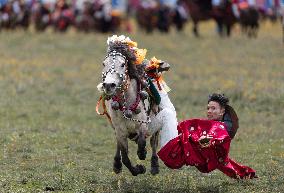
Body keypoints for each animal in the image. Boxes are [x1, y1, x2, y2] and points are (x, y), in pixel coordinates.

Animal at [97, 35, 178, 176]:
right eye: (104, 64)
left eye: (123, 64)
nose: (108, 85)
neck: (126, 103)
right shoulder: (120, 130)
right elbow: (125, 156)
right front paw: (138, 169)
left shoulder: (143, 124)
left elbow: (142, 142)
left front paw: (143, 154)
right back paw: (117, 164)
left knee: (153, 142)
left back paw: (154, 165)